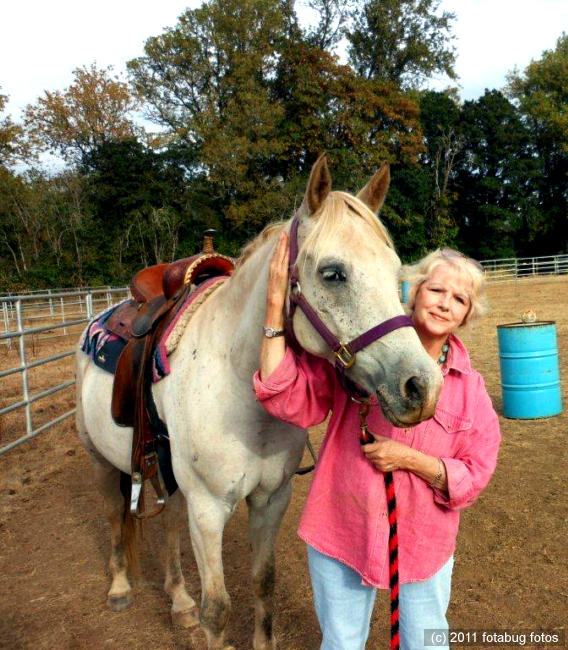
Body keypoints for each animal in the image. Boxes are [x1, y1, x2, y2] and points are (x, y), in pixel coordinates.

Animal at [75, 154, 442, 644]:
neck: (237, 386)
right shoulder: (208, 511)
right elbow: (217, 610)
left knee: (169, 518)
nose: (420, 387)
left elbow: (263, 582)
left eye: (395, 270)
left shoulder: (271, 499)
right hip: (99, 457)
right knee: (116, 514)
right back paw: (119, 588)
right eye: (333, 273)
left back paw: (179, 600)